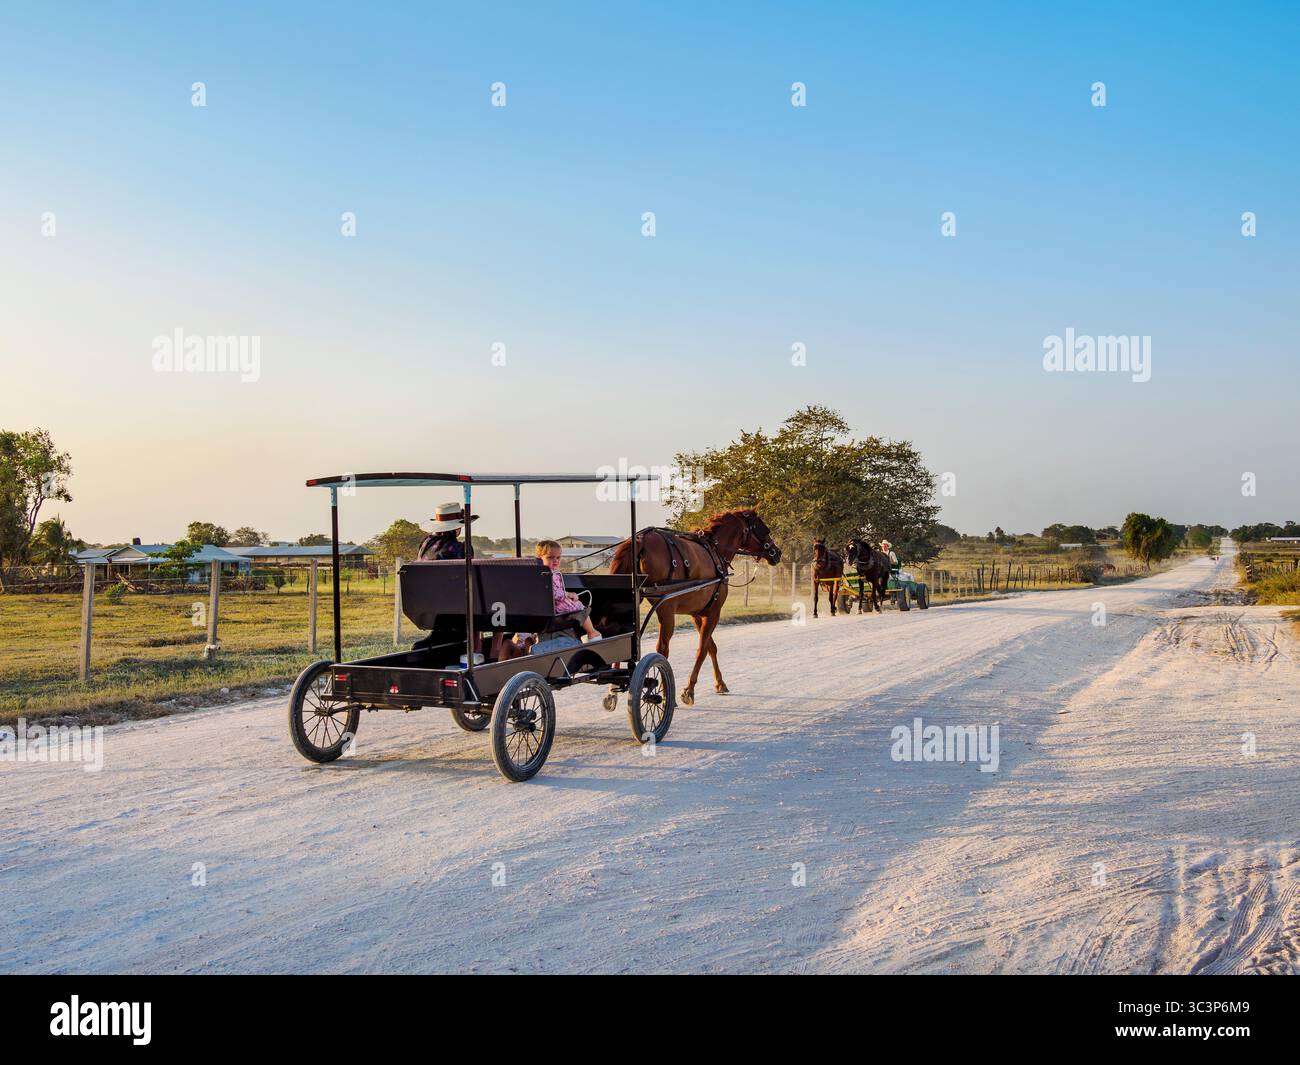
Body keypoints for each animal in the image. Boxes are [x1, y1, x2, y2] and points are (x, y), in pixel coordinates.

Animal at [608, 509, 781, 705]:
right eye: (763, 528)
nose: (777, 552)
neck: (716, 551)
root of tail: (640, 540)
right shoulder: (713, 612)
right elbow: (702, 649)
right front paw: (689, 690)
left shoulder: (697, 613)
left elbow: (711, 647)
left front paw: (720, 683)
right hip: (665, 608)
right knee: (662, 649)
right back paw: (662, 692)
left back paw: (612, 691)